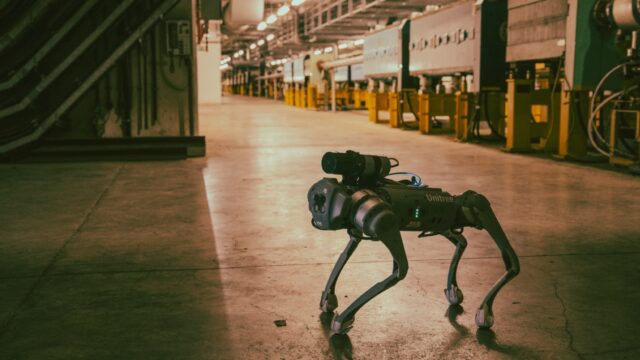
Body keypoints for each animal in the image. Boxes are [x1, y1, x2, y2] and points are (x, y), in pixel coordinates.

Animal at [306, 151, 520, 334]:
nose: (319, 202)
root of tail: (454, 200)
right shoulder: (363, 229)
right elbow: (346, 256)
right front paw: (327, 299)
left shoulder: (384, 222)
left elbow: (400, 269)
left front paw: (342, 320)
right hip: (446, 223)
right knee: (462, 240)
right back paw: (453, 289)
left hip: (469, 209)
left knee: (506, 253)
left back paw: (483, 306)